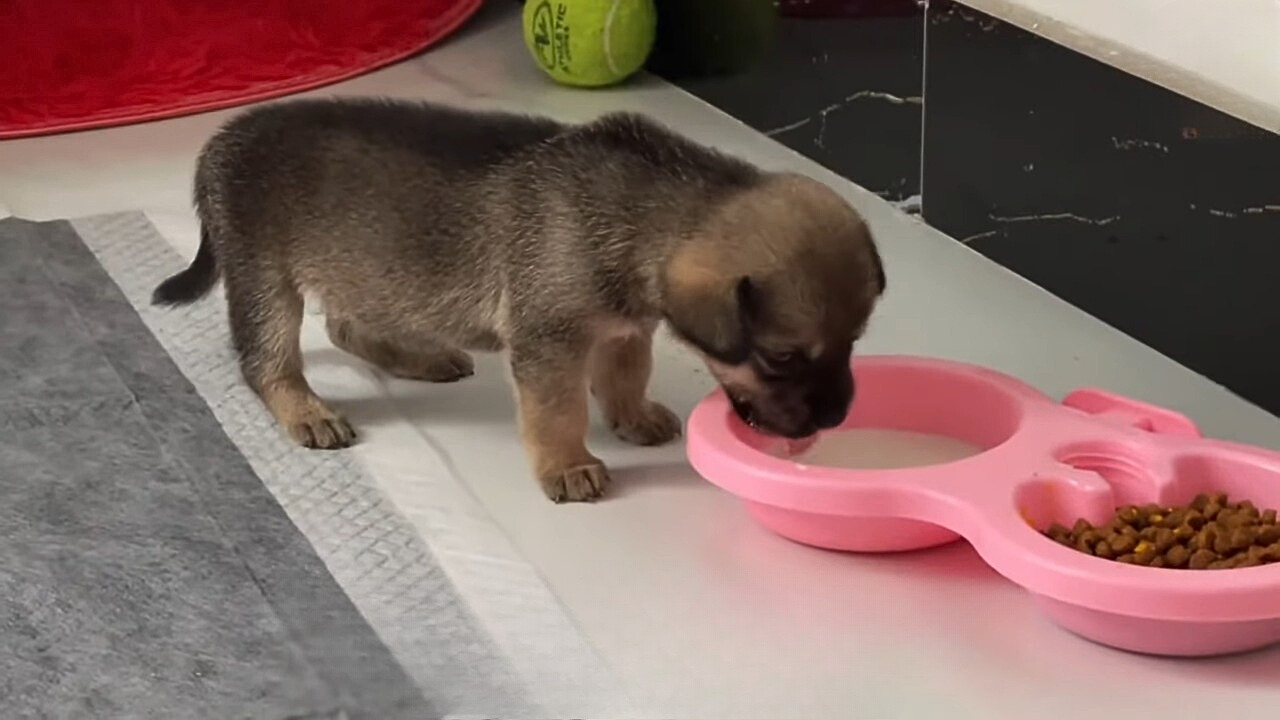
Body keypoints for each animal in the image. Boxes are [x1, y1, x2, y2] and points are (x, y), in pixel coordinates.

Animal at [154, 98, 885, 502]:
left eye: (854, 342)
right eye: (782, 358)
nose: (840, 416)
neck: (651, 215)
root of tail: (214, 147)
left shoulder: (624, 329)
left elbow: (626, 377)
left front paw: (633, 416)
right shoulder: (549, 343)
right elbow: (557, 412)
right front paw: (568, 466)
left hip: (370, 266)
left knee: (344, 326)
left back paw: (419, 357)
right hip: (265, 280)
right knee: (266, 363)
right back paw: (306, 411)